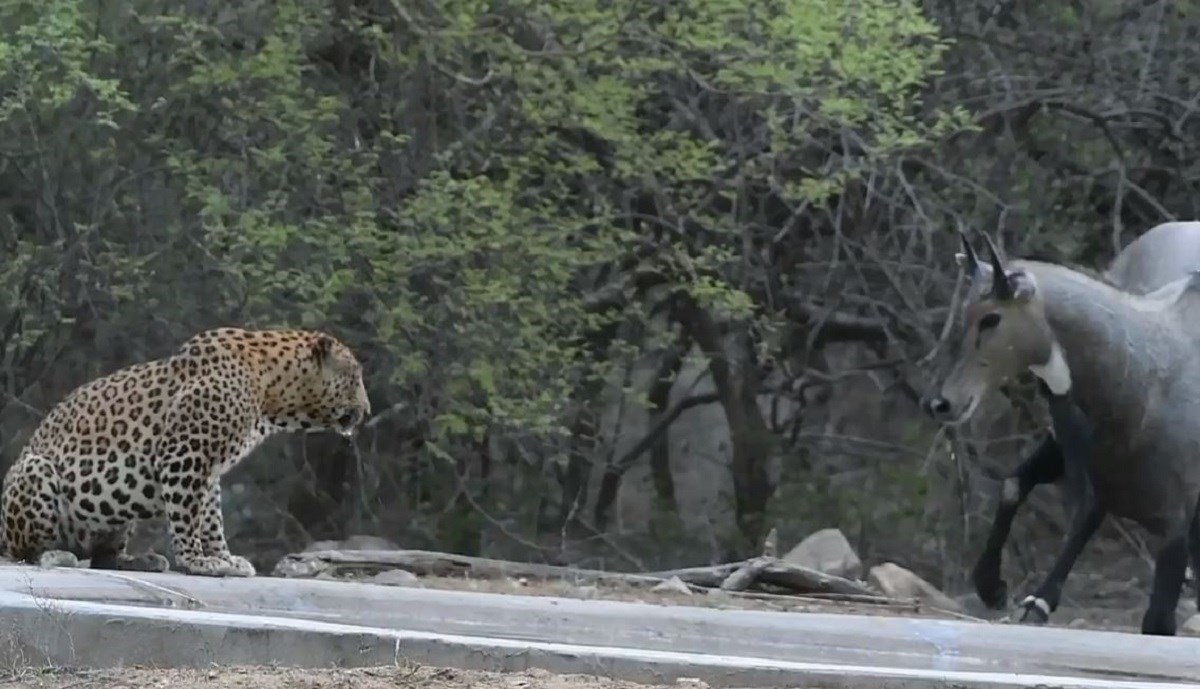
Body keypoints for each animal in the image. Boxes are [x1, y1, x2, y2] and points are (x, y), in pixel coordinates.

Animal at [0, 328, 367, 578]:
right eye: (354, 377)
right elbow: (187, 516)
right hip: (36, 469)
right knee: (24, 551)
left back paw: (142, 560)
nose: (367, 409)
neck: (271, 393)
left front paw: (224, 558)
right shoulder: (186, 454)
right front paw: (198, 561)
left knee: (103, 557)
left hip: (118, 519)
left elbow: (211, 518)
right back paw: (57, 556)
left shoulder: (210, 468)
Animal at [921, 230, 1200, 638]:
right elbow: (1034, 493)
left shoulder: (1175, 526)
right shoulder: (1093, 471)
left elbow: (1156, 623)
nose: (941, 403)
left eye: (991, 318)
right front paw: (998, 588)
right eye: (964, 312)